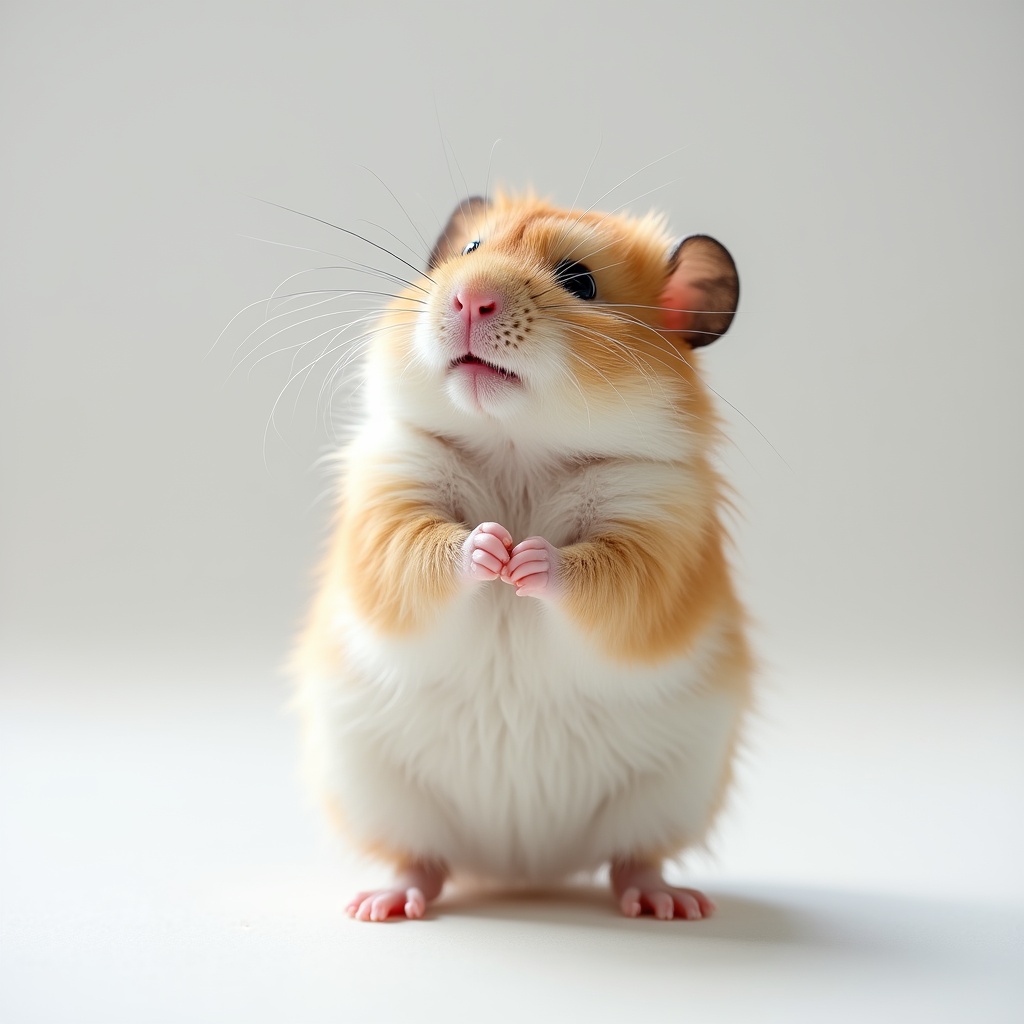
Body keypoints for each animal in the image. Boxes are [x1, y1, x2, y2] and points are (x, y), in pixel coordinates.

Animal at [292, 192, 753, 921]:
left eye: (580, 281)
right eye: (470, 251)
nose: (468, 300)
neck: (519, 445)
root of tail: (525, 866)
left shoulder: (657, 534)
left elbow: (599, 575)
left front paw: (526, 558)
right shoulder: (391, 502)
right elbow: (430, 550)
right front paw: (493, 545)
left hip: (669, 796)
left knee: (635, 858)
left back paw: (670, 903)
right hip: (378, 793)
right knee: (421, 861)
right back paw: (383, 903)